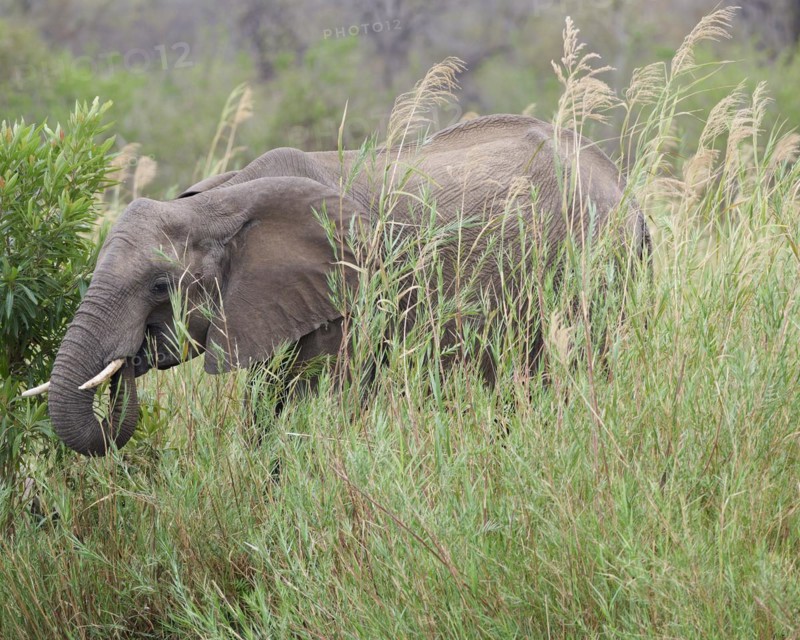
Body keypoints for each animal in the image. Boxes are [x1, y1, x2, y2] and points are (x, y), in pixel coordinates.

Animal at [23, 114, 651, 456]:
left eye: (159, 285)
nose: (127, 365)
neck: (220, 201)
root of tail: (622, 184)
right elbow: (266, 402)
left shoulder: (344, 295)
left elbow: (318, 402)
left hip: (600, 259)